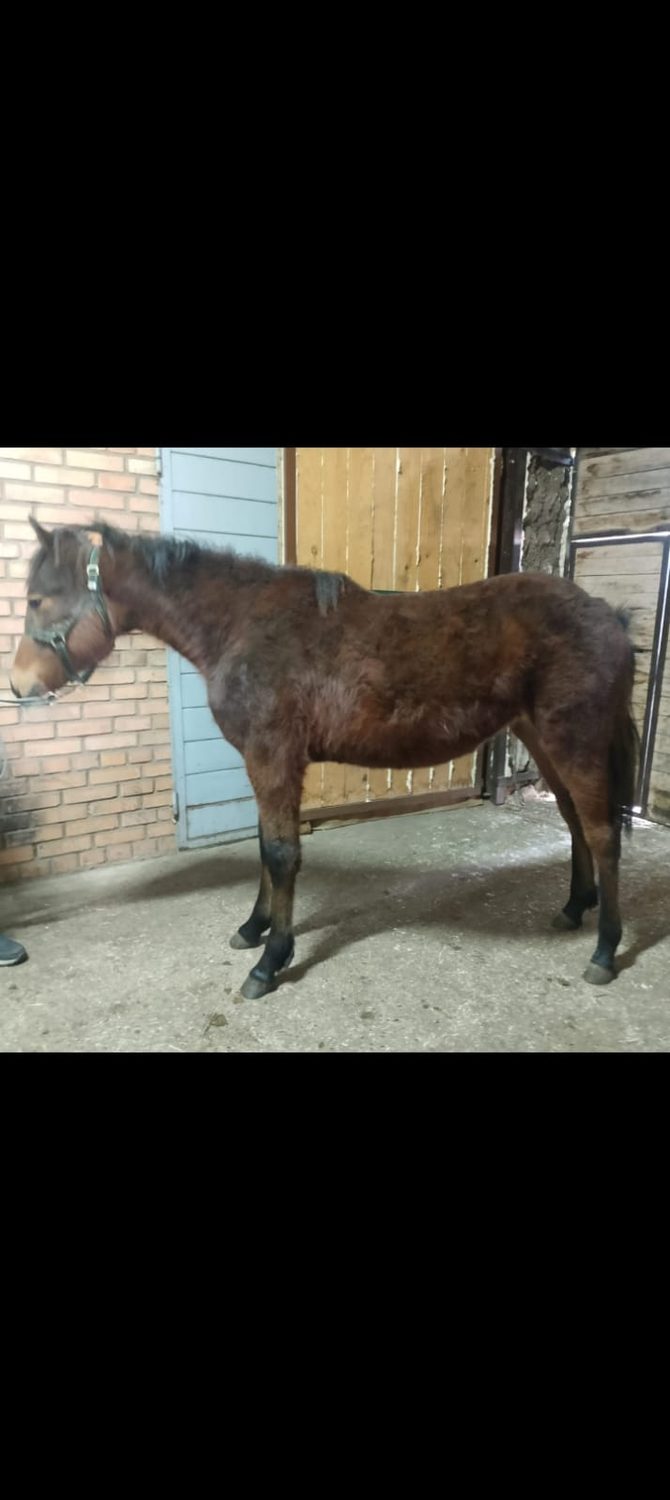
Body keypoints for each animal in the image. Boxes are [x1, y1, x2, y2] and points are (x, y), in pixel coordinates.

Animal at [10, 519, 639, 1000]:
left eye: (37, 600)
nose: (18, 687)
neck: (242, 625)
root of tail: (609, 614)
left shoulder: (273, 757)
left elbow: (282, 854)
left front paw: (270, 962)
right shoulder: (265, 762)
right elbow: (266, 846)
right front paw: (254, 927)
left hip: (575, 742)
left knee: (603, 832)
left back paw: (605, 950)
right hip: (541, 739)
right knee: (574, 822)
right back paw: (573, 908)